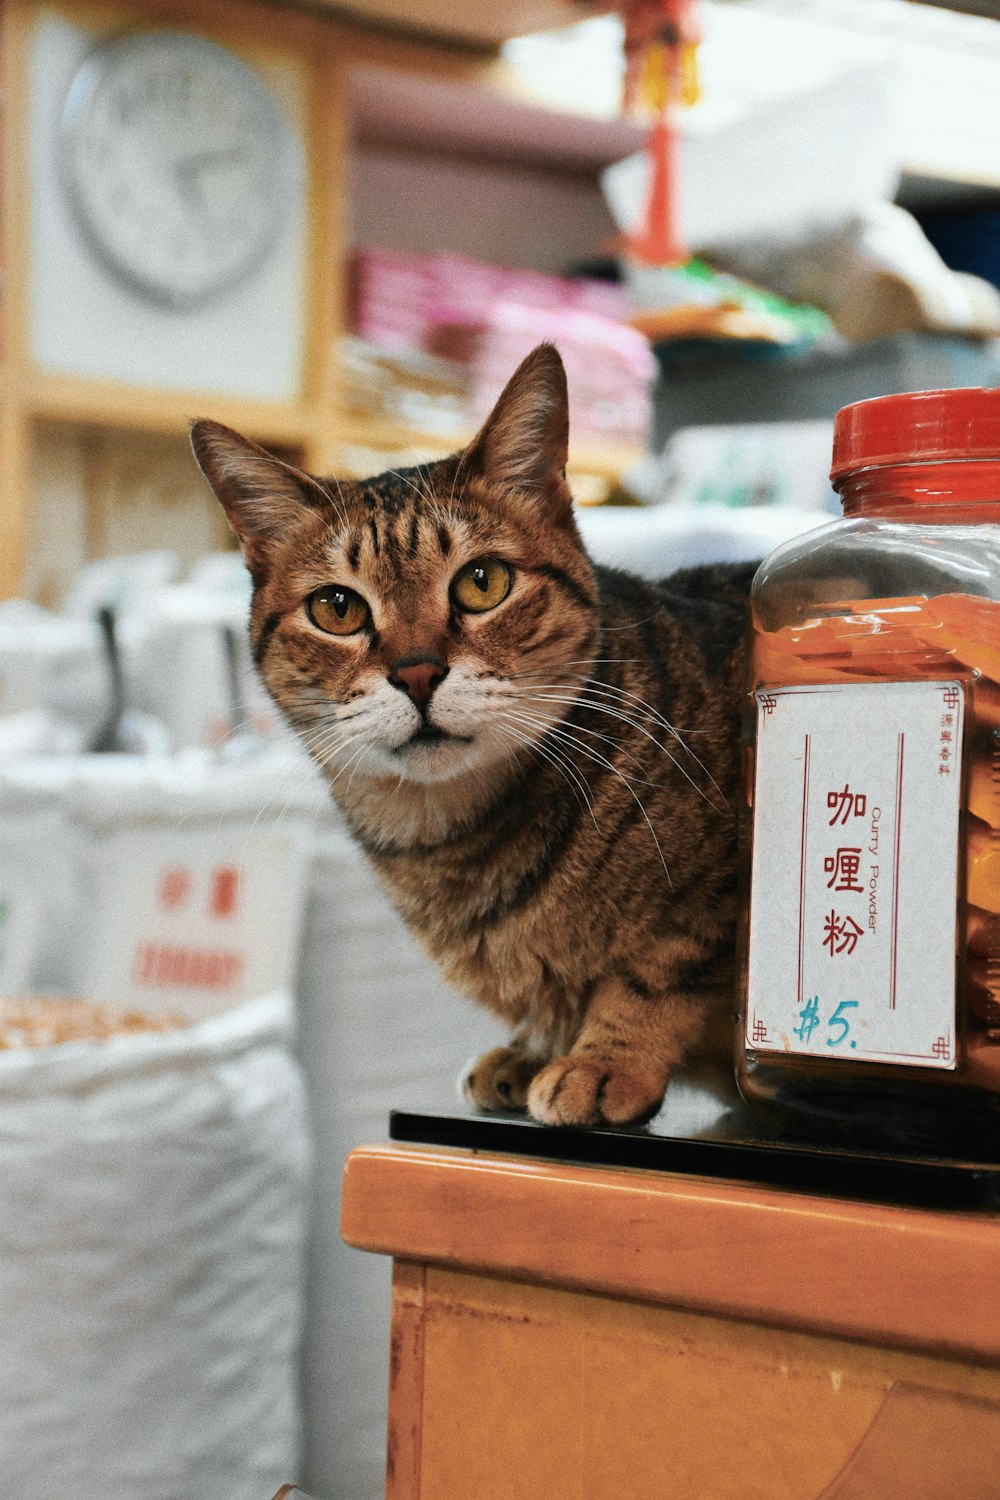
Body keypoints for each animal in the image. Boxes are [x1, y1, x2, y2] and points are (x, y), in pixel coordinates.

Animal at [191, 348, 755, 1128]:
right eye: (337, 608)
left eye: (483, 583)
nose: (417, 673)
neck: (453, 843)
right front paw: (534, 1050)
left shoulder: (719, 886)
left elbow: (654, 971)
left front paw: (604, 1058)